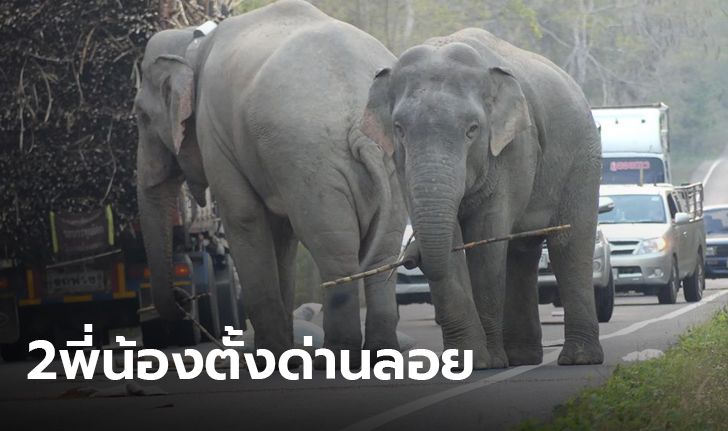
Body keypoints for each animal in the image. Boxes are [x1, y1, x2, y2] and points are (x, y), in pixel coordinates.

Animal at [135, 0, 404, 362]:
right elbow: (282, 234)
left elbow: (244, 218)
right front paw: (283, 352)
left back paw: (333, 356)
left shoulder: (215, 133)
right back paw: (381, 353)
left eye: (141, 117)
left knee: (334, 249)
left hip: (310, 159)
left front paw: (268, 356)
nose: (183, 299)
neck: (193, 42)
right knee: (382, 254)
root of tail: (362, 133)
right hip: (390, 163)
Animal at [362, 28, 604, 370]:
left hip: (583, 158)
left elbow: (486, 238)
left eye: (472, 130)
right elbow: (451, 240)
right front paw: (467, 361)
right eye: (399, 129)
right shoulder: (402, 166)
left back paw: (578, 359)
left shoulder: (512, 150)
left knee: (570, 244)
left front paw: (487, 362)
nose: (409, 257)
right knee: (522, 251)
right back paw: (522, 357)